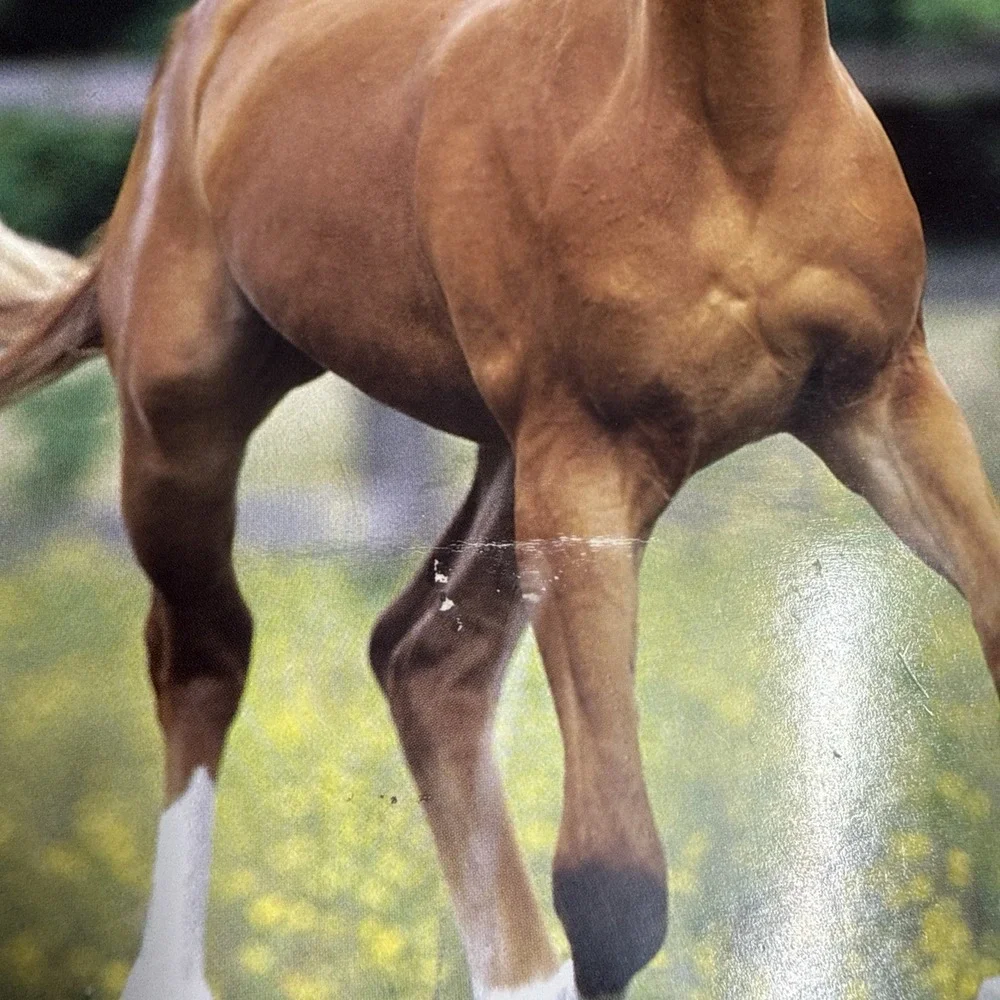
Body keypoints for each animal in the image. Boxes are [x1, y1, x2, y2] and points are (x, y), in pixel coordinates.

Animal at [2, 0, 999, 996]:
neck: (735, 129)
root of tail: (193, 50)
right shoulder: (588, 461)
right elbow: (614, 885)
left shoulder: (886, 403)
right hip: (183, 428)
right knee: (206, 658)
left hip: (506, 459)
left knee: (425, 662)